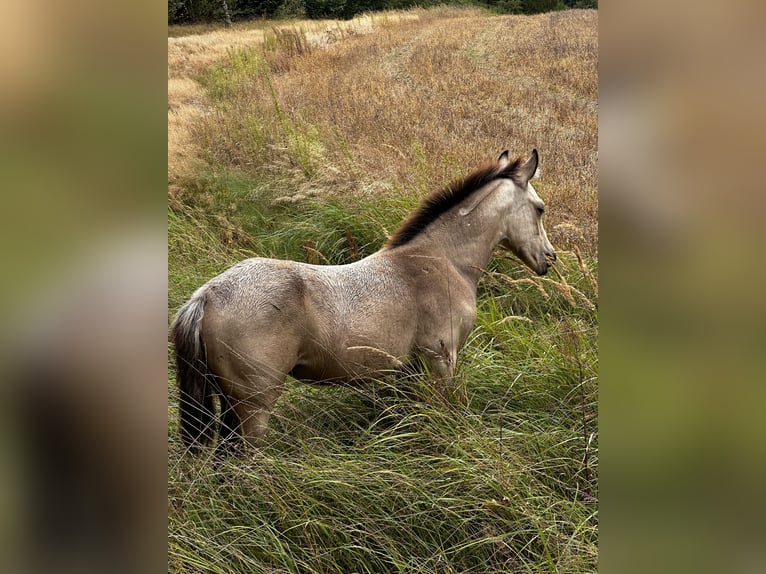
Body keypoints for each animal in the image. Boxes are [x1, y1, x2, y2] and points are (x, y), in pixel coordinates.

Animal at [172, 150, 560, 460]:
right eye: (540, 209)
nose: (550, 258)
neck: (441, 261)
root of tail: (206, 295)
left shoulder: (409, 371)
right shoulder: (441, 361)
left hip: (230, 406)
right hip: (253, 407)